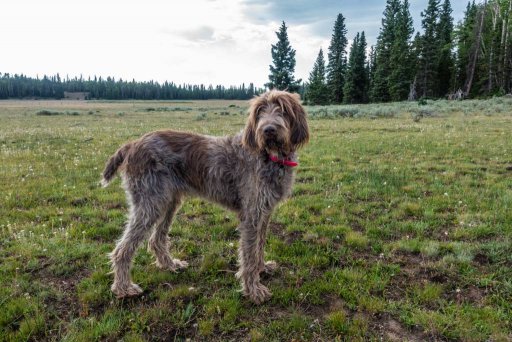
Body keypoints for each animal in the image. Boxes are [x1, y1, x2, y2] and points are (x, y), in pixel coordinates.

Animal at [100, 89, 308, 304]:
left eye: (283, 109)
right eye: (259, 112)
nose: (268, 130)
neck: (270, 156)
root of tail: (133, 144)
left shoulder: (264, 213)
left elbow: (259, 245)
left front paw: (262, 268)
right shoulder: (251, 215)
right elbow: (249, 254)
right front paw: (253, 290)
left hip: (169, 202)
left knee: (156, 239)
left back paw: (169, 265)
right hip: (149, 204)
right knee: (122, 250)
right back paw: (123, 288)